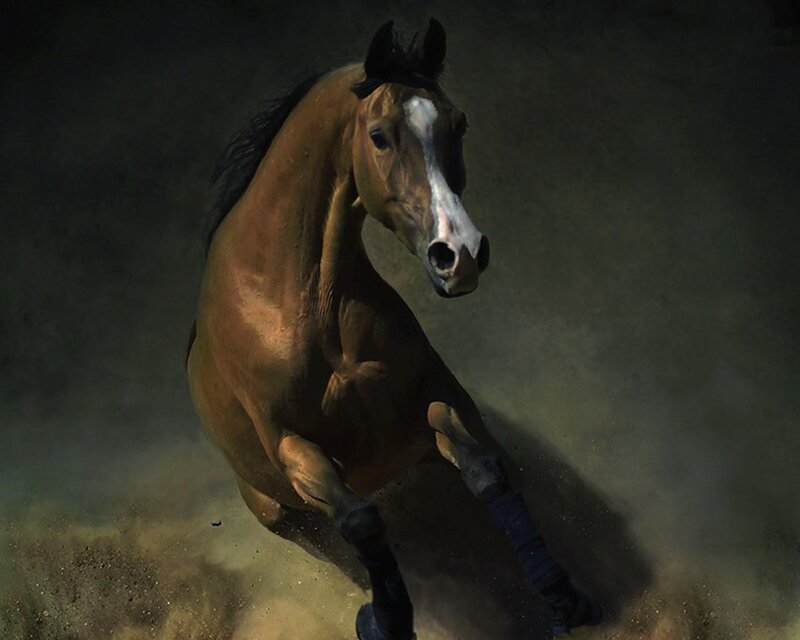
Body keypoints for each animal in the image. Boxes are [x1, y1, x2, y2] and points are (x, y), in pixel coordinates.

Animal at [186, 19, 602, 640]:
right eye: (379, 137)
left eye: (458, 123)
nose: (460, 254)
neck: (302, 302)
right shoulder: (293, 447)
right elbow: (361, 521)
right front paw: (384, 620)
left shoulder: (434, 399)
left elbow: (489, 474)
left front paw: (561, 597)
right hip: (274, 508)